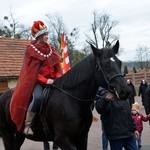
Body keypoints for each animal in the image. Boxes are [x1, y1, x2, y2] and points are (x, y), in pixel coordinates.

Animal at [0, 40, 130, 149]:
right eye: (105, 64)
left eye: (119, 63)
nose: (125, 91)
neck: (72, 100)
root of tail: (3, 95)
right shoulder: (62, 139)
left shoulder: (82, 138)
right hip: (8, 134)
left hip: (18, 134)